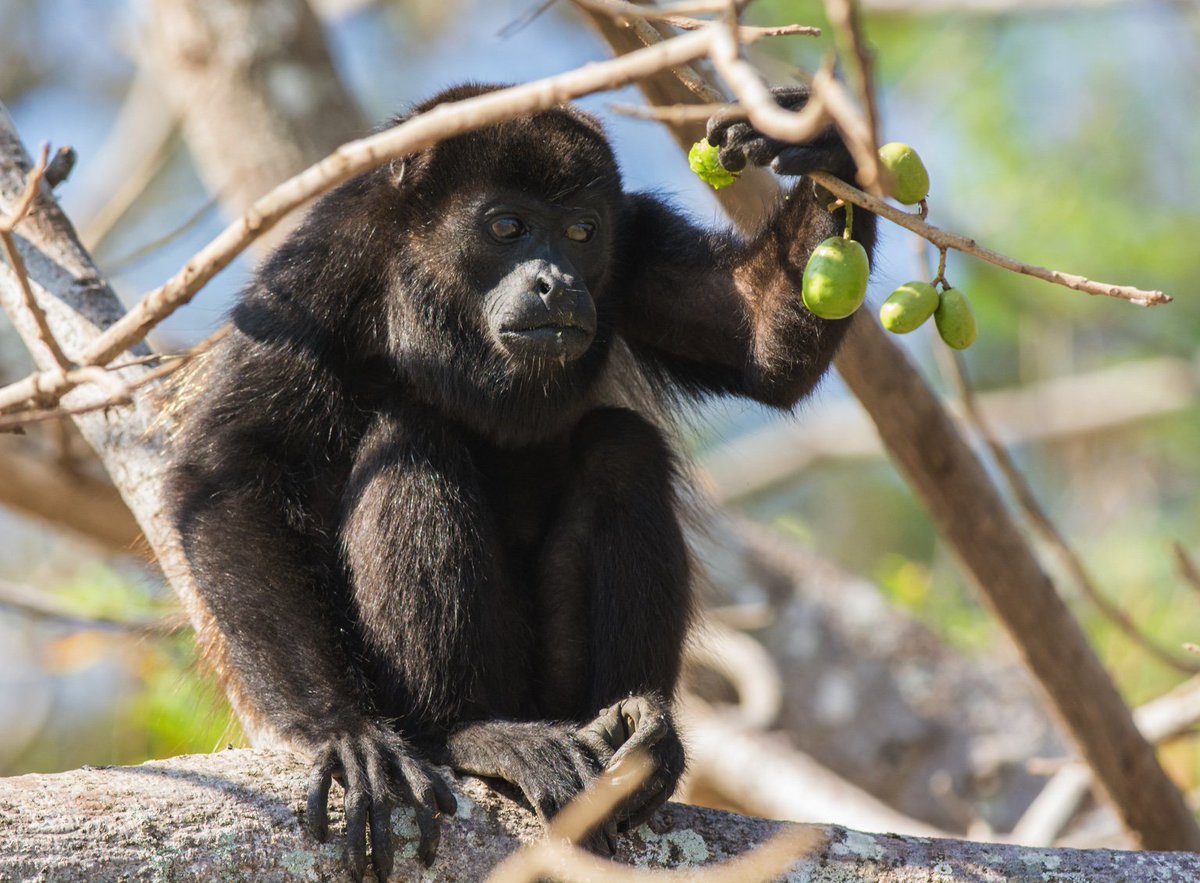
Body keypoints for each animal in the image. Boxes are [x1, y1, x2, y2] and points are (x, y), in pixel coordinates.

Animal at [166, 83, 875, 881]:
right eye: (506, 227)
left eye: (581, 231)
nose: (556, 282)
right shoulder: (324, 265)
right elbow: (227, 469)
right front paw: (343, 734)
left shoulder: (634, 237)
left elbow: (757, 343)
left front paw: (819, 141)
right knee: (413, 435)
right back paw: (471, 731)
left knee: (622, 447)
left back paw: (637, 732)